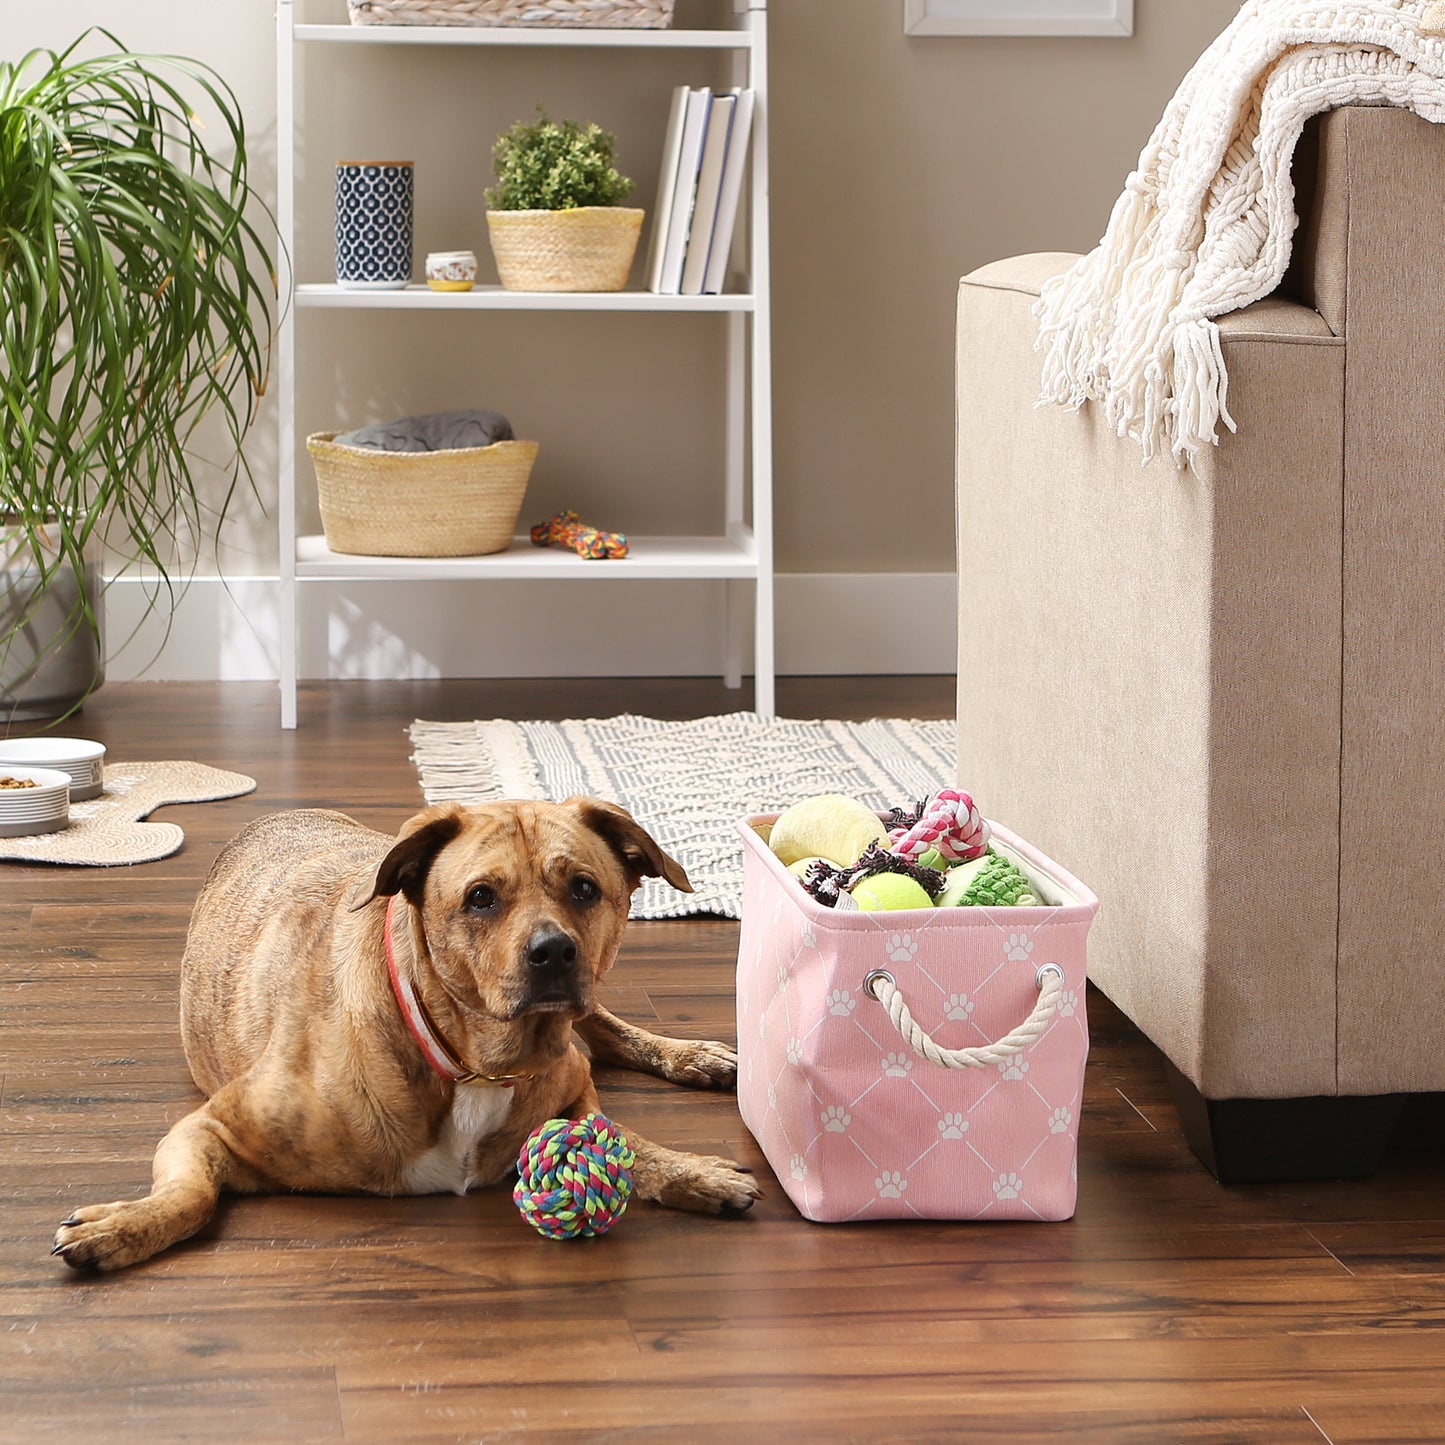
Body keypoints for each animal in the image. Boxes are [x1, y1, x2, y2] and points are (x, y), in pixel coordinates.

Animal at [52, 797, 762, 1271]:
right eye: (480, 897)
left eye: (584, 888)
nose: (553, 951)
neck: (475, 1060)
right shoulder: (212, 1127)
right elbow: (192, 1194)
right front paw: (124, 1227)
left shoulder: (572, 1087)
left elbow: (622, 1138)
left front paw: (690, 1170)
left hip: (587, 1017)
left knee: (606, 1028)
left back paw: (692, 1056)